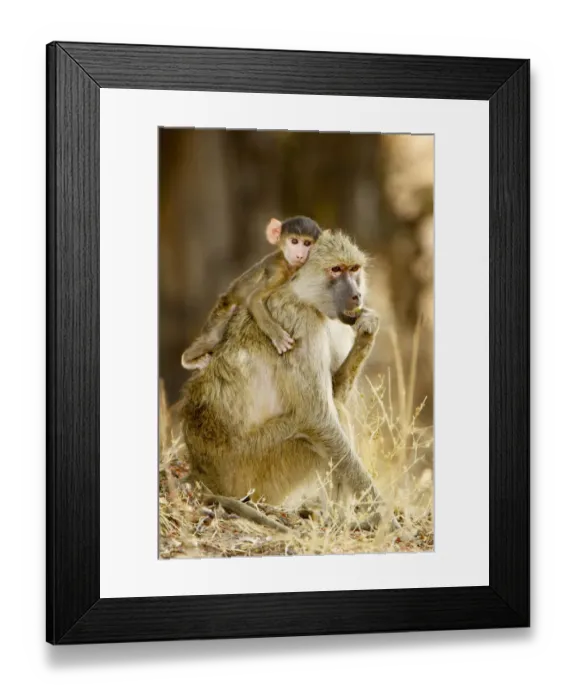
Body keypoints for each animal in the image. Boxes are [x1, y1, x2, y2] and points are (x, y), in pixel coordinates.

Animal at [180, 215, 322, 373]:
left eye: (307, 243)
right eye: (294, 241)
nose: (299, 255)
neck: (288, 264)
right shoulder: (277, 273)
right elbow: (254, 299)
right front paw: (278, 336)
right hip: (222, 309)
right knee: (213, 338)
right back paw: (188, 360)